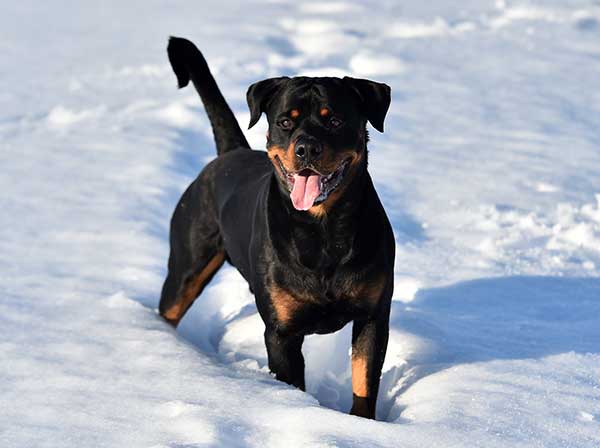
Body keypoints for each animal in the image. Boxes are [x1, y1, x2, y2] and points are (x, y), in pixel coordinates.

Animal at [159, 36, 394, 418]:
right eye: (285, 121)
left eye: (335, 120)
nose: (306, 147)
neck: (323, 230)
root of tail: (229, 153)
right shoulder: (281, 333)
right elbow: (293, 383)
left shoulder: (373, 316)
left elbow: (363, 383)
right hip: (186, 263)